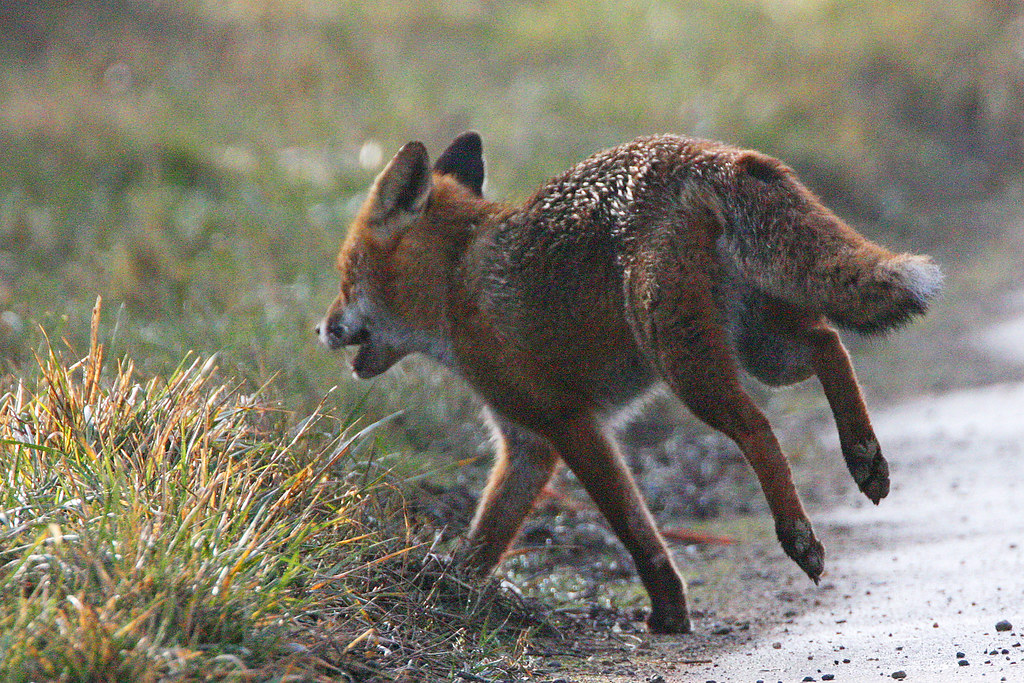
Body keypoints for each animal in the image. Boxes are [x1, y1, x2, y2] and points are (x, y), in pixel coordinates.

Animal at [316, 131, 942, 634]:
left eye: (346, 276)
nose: (321, 328)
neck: (456, 286)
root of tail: (707, 153)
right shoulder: (528, 445)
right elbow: (485, 539)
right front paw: (449, 593)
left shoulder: (571, 425)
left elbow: (635, 530)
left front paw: (669, 613)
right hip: (764, 351)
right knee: (829, 345)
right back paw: (864, 457)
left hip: (687, 364)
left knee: (759, 429)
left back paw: (799, 535)